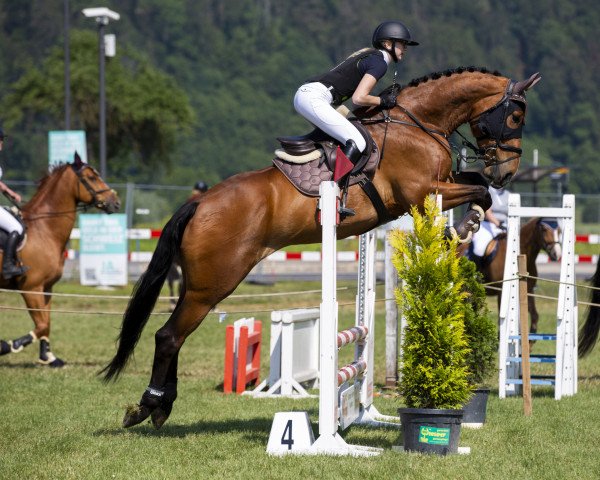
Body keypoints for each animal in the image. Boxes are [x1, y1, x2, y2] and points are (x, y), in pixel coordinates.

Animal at [0, 156, 120, 366]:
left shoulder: (46, 288)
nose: (116, 202)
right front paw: (8, 346)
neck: (44, 229)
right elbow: (40, 325)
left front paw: (48, 357)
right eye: (91, 177)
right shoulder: (31, 289)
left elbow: (46, 323)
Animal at [101, 66, 540, 428]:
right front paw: (464, 226)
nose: (507, 173)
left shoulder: (439, 186)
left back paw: (161, 407)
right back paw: (148, 406)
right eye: (515, 116)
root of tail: (199, 204)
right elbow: (477, 189)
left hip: (201, 284)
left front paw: (467, 225)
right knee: (168, 336)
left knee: (173, 336)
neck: (417, 123)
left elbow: (476, 185)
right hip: (212, 284)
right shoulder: (421, 192)